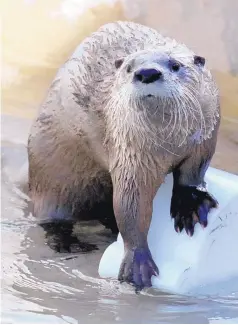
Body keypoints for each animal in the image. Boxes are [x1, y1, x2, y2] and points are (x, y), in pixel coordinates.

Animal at [27, 20, 219, 288]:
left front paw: (190, 203)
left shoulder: (205, 137)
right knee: (52, 218)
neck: (168, 144)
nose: (147, 73)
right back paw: (69, 243)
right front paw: (137, 262)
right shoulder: (131, 156)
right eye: (129, 68)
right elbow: (130, 207)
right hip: (50, 172)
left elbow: (194, 172)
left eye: (175, 65)